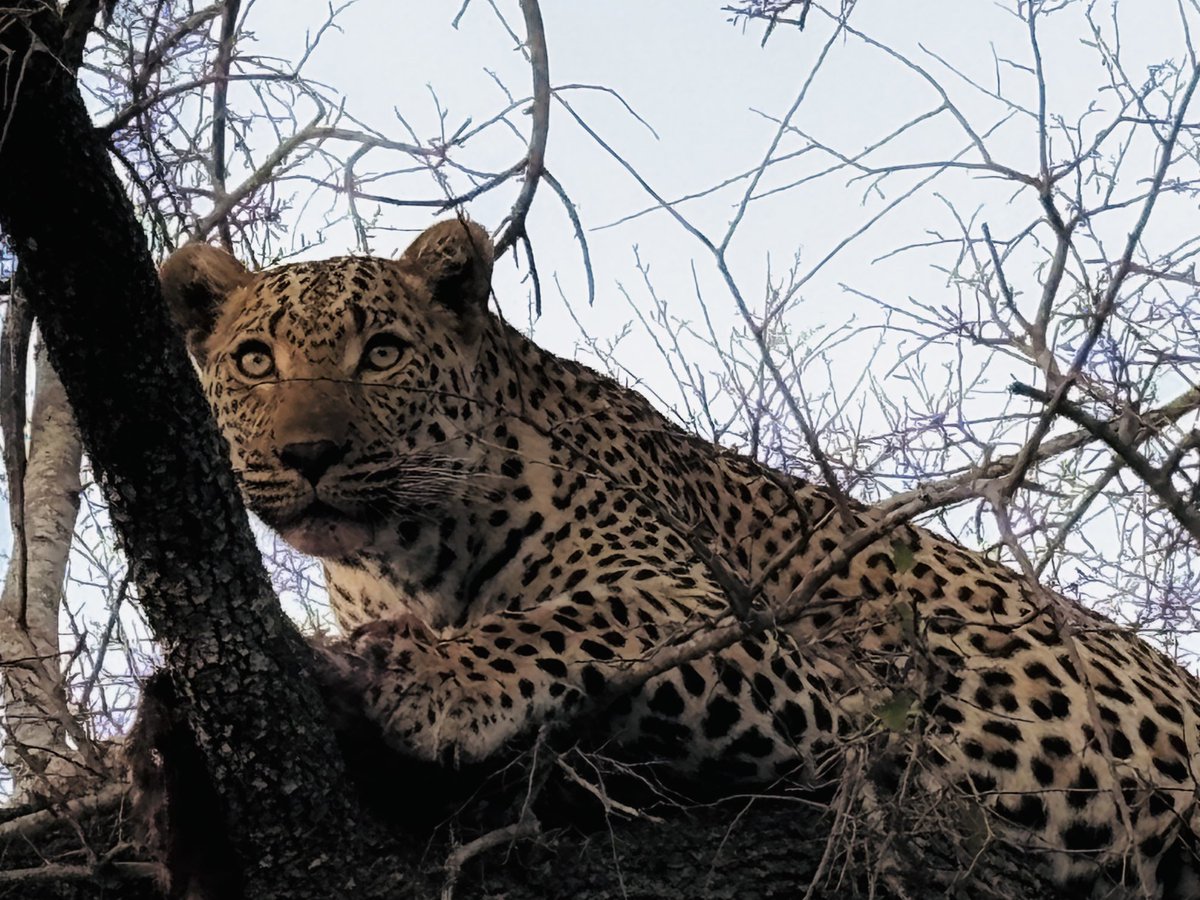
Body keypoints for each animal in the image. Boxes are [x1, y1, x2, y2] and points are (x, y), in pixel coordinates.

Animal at [160, 218, 1200, 897]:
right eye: (254, 362)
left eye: (379, 354)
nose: (308, 453)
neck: (399, 554)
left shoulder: (750, 634)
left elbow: (574, 620)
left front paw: (434, 677)